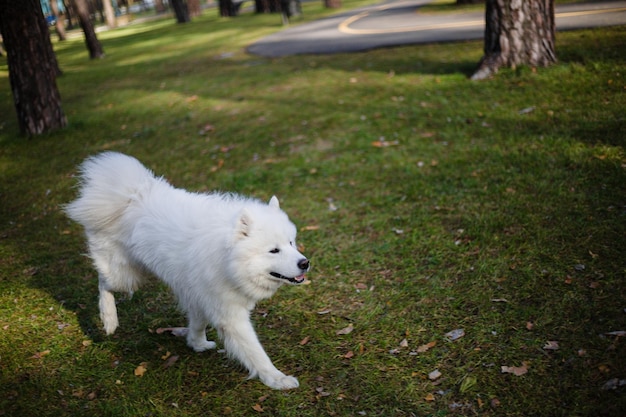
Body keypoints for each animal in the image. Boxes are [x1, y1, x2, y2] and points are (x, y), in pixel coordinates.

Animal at [64, 153, 308, 390]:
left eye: (291, 243)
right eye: (274, 250)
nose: (305, 263)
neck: (227, 258)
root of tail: (131, 193)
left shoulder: (200, 296)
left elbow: (198, 323)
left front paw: (197, 343)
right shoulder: (230, 315)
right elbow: (255, 352)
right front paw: (276, 379)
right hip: (125, 276)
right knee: (103, 284)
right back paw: (108, 320)